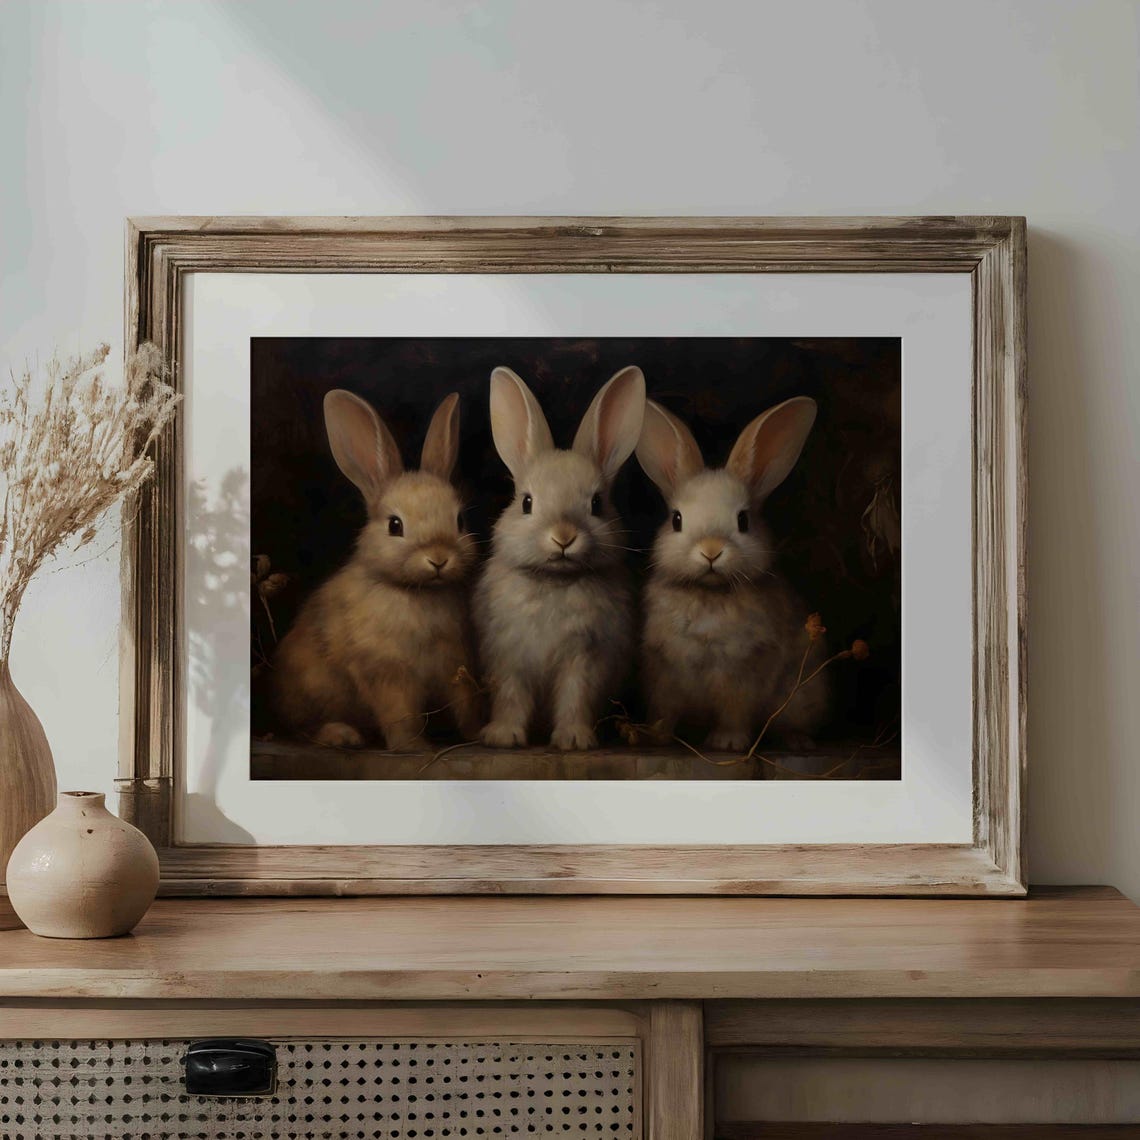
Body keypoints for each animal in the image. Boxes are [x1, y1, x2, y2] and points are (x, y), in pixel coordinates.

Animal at [273, 389, 482, 751]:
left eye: (459, 521)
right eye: (395, 525)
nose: (439, 558)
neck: (417, 591)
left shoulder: (455, 662)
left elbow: (465, 702)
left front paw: (478, 734)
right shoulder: (385, 670)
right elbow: (399, 712)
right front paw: (412, 747)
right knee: (302, 728)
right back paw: (341, 735)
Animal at [475, 365, 646, 751]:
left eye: (597, 504)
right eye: (526, 502)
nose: (563, 537)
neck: (555, 580)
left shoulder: (584, 659)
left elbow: (574, 697)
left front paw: (574, 739)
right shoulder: (510, 656)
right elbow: (511, 697)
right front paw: (503, 736)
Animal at [635, 395, 827, 752]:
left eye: (743, 521)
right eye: (677, 520)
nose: (711, 551)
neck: (709, 592)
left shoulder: (741, 671)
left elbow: (734, 710)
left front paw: (727, 742)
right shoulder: (663, 673)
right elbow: (665, 711)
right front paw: (656, 738)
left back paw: (797, 740)